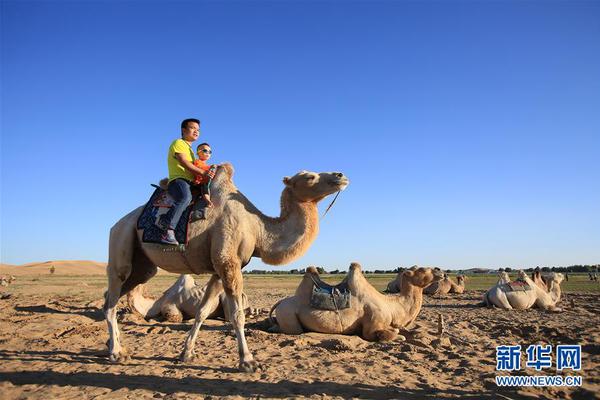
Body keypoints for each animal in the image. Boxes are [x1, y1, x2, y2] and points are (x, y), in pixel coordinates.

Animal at [106, 163, 350, 372]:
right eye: (310, 177)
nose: (341, 175)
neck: (257, 228)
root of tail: (116, 224)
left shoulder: (218, 269)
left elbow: (202, 312)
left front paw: (186, 354)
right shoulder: (228, 262)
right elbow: (236, 314)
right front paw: (248, 361)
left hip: (143, 267)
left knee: (113, 294)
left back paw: (113, 347)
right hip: (122, 239)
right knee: (113, 295)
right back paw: (117, 353)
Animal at [270, 262, 442, 340]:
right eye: (421, 269)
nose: (440, 271)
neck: (392, 306)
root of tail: (279, 303)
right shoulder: (371, 326)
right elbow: (394, 334)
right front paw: (398, 336)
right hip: (288, 314)